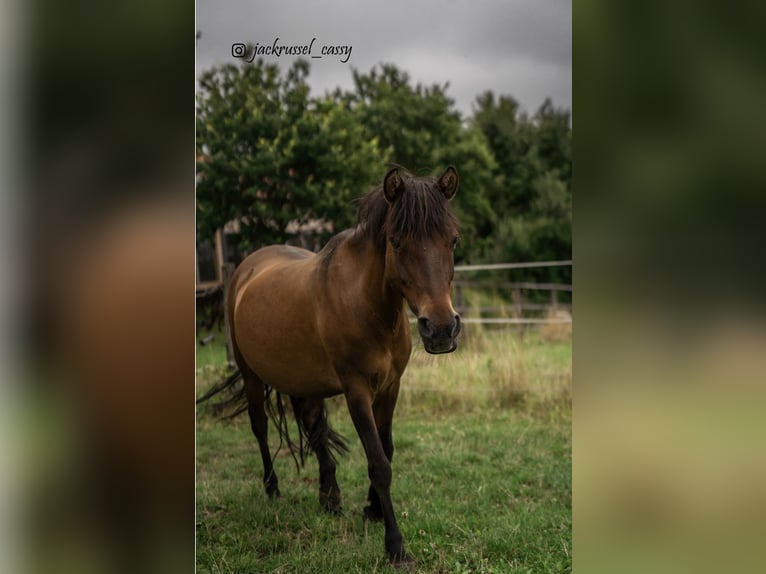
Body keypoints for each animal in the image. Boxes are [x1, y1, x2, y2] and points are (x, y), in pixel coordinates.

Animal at [199, 166, 462, 565]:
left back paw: (329, 495)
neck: (367, 305)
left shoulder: (390, 387)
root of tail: (245, 268)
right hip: (251, 375)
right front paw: (395, 545)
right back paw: (273, 489)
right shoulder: (356, 390)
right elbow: (378, 462)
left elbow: (386, 450)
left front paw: (371, 509)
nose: (442, 329)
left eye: (453, 241)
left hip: (301, 377)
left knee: (312, 426)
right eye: (397, 242)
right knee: (261, 427)